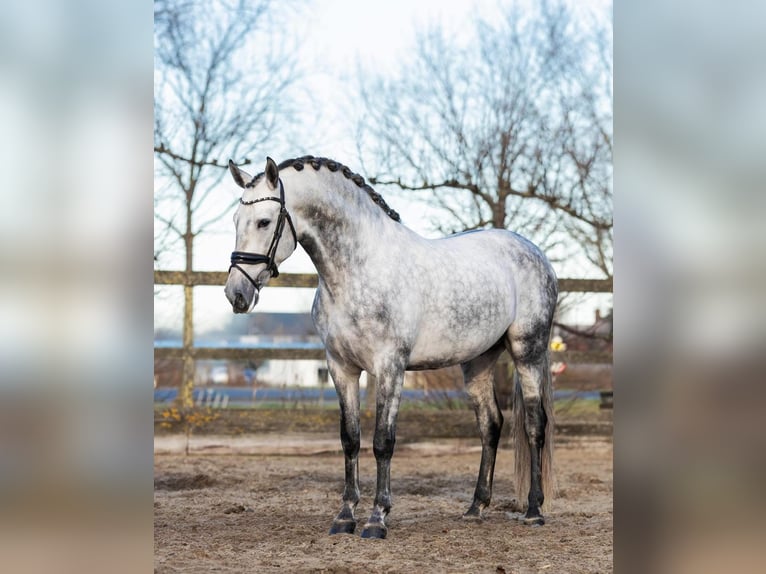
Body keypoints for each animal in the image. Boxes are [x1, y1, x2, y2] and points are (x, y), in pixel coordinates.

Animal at [224, 156, 558, 539]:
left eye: (264, 221)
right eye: (236, 220)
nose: (236, 294)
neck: (359, 271)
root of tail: (533, 252)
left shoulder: (390, 367)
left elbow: (383, 441)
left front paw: (377, 519)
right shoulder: (341, 368)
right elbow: (350, 438)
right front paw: (345, 517)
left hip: (528, 351)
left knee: (534, 424)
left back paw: (534, 510)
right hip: (478, 361)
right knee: (491, 424)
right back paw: (476, 508)